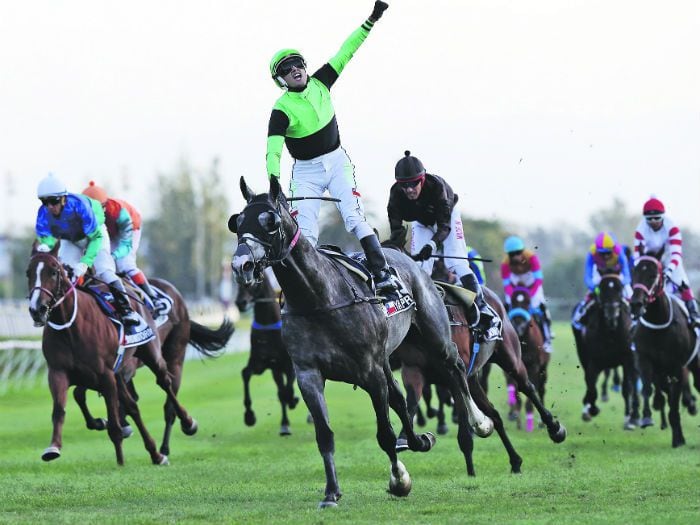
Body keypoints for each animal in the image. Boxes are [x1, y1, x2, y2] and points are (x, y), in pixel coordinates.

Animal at [28, 247, 235, 462]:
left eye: (54, 272)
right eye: (28, 273)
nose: (37, 309)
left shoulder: (116, 371)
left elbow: (105, 400)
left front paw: (120, 427)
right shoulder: (68, 372)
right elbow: (70, 402)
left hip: (172, 356)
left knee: (167, 394)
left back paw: (179, 432)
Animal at [237, 268, 300, 432]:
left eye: (252, 278)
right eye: (236, 280)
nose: (240, 303)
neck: (268, 325)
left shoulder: (289, 364)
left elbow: (288, 390)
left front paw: (293, 400)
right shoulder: (262, 363)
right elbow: (246, 373)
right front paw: (249, 416)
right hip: (275, 371)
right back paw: (284, 423)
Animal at [568, 272, 640, 428]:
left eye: (619, 290)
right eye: (601, 290)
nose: (611, 315)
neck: (611, 332)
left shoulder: (628, 358)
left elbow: (627, 387)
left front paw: (628, 418)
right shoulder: (594, 361)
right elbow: (591, 386)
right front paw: (591, 409)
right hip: (584, 355)